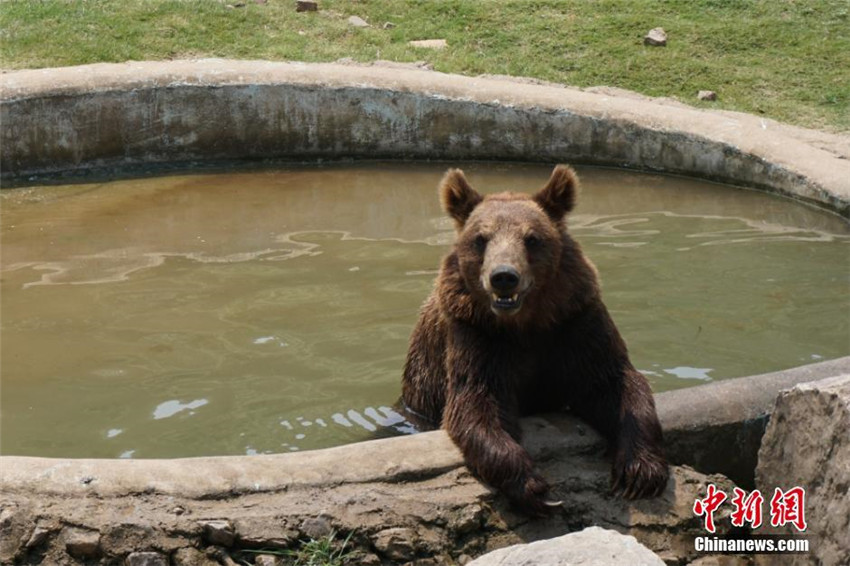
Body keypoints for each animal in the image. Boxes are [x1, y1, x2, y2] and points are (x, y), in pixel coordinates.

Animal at [400, 166, 664, 516]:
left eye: (532, 238)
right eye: (481, 238)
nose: (503, 276)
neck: (527, 323)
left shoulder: (576, 322)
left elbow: (614, 383)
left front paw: (639, 473)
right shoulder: (477, 335)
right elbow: (478, 404)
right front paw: (536, 487)